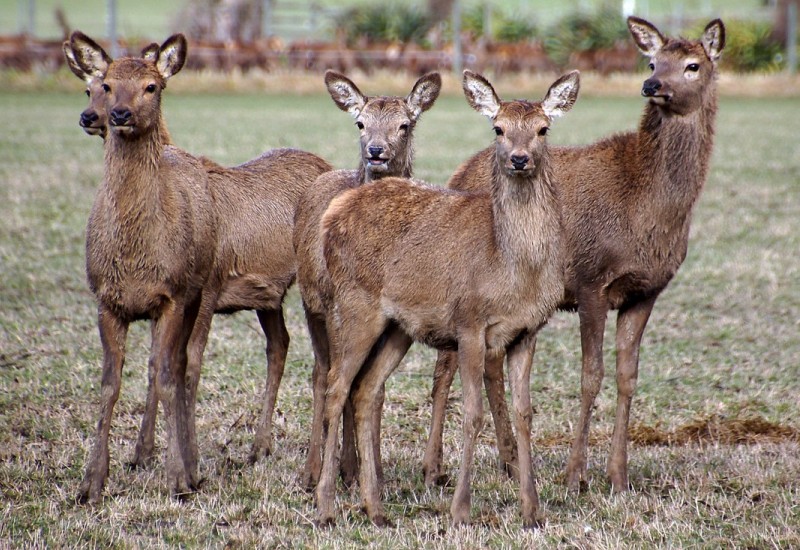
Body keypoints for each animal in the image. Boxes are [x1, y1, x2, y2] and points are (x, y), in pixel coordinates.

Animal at [67, 31, 332, 504]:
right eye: (97, 86)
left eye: (152, 86)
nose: (104, 116)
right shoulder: (109, 299)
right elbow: (125, 379)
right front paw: (102, 476)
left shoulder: (198, 290)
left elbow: (181, 369)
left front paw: (182, 470)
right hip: (267, 298)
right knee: (279, 344)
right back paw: (260, 446)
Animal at [296, 71, 444, 490]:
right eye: (360, 123)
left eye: (405, 124)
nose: (376, 151)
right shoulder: (334, 304)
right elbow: (340, 382)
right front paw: (339, 470)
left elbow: (374, 391)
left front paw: (371, 469)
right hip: (312, 303)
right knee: (320, 373)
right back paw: (314, 469)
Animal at [314, 70, 580, 532]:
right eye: (498, 128)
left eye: (543, 129)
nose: (519, 159)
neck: (513, 268)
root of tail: (335, 212)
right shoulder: (470, 322)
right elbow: (472, 412)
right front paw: (460, 510)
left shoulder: (528, 331)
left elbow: (525, 413)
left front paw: (532, 510)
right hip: (353, 305)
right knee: (336, 387)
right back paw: (326, 505)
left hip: (397, 327)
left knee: (366, 390)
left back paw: (375, 508)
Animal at [422, 16, 728, 496]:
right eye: (652, 60)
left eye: (693, 65)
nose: (652, 84)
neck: (652, 208)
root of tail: (458, 172)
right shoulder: (590, 279)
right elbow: (590, 376)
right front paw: (575, 475)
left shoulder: (646, 291)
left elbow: (627, 377)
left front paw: (618, 475)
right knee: (445, 368)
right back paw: (435, 468)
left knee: (486, 364)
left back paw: (508, 461)